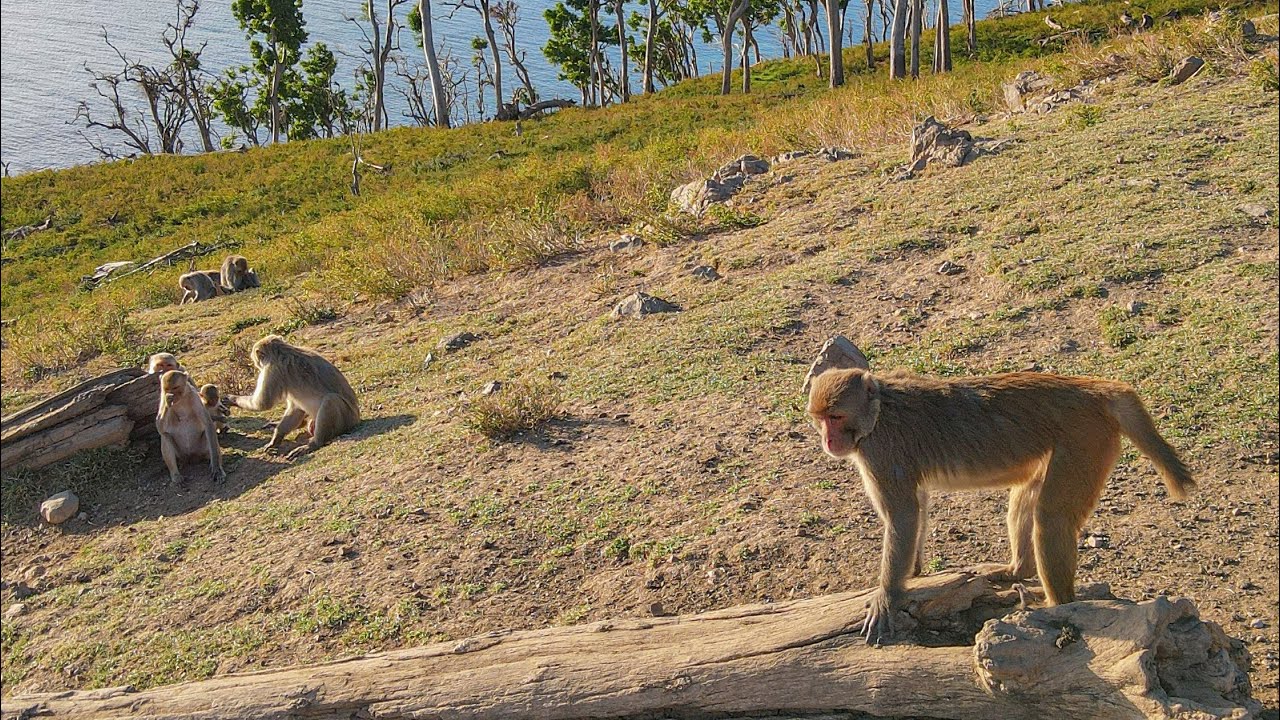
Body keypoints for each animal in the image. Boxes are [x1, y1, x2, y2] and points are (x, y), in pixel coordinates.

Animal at [225, 335, 359, 459]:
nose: (256, 363)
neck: (282, 351)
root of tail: (356, 419)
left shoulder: (272, 370)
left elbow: (262, 403)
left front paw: (231, 399)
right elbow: (296, 408)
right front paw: (277, 437)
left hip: (347, 419)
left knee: (330, 400)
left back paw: (315, 443)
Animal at [806, 367, 1194, 643]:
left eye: (836, 417)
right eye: (820, 419)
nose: (828, 441)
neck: (879, 410)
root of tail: (1093, 389)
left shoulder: (880, 451)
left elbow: (902, 515)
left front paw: (887, 596)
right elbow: (916, 506)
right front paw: (913, 573)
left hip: (1084, 439)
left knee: (1051, 517)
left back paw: (1054, 604)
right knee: (1026, 498)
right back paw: (1018, 570)